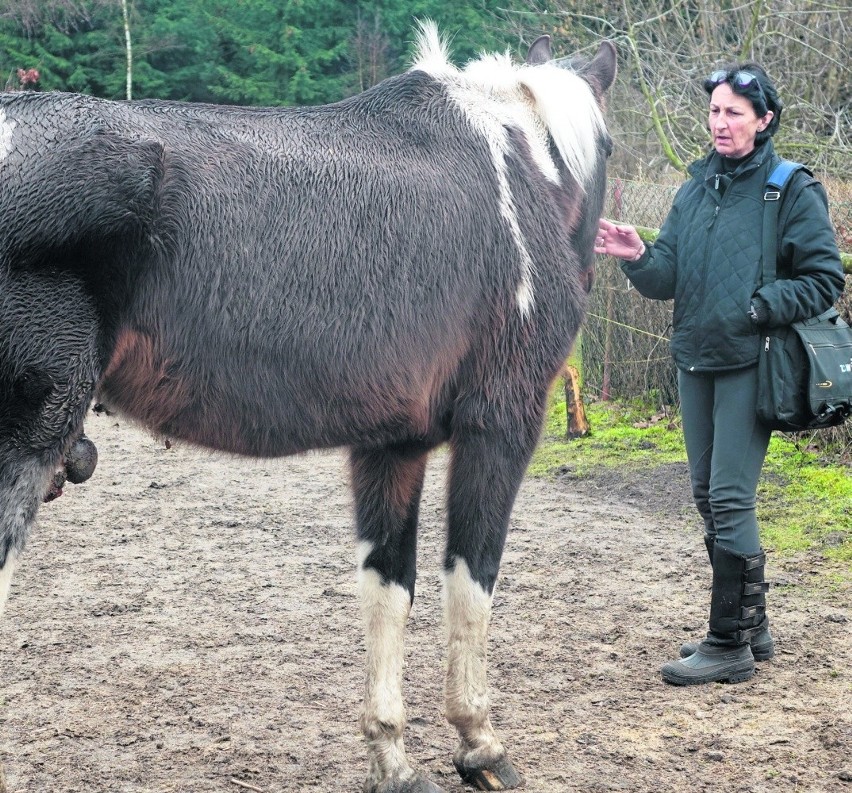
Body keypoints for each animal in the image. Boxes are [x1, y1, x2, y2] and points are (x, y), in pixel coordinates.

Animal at [0, 24, 616, 792]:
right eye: (609, 147)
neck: (512, 171)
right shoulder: (498, 426)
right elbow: (471, 580)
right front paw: (481, 743)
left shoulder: (392, 445)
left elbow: (389, 587)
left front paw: (392, 757)